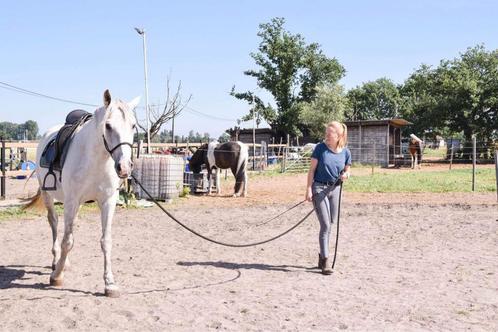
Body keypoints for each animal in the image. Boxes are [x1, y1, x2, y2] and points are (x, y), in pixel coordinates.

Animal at [26, 89, 140, 296]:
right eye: (108, 126)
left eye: (133, 125)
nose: (124, 167)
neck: (96, 160)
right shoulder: (71, 201)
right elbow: (67, 241)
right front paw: (57, 276)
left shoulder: (108, 201)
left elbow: (106, 241)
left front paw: (109, 283)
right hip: (49, 195)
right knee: (54, 223)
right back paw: (56, 262)